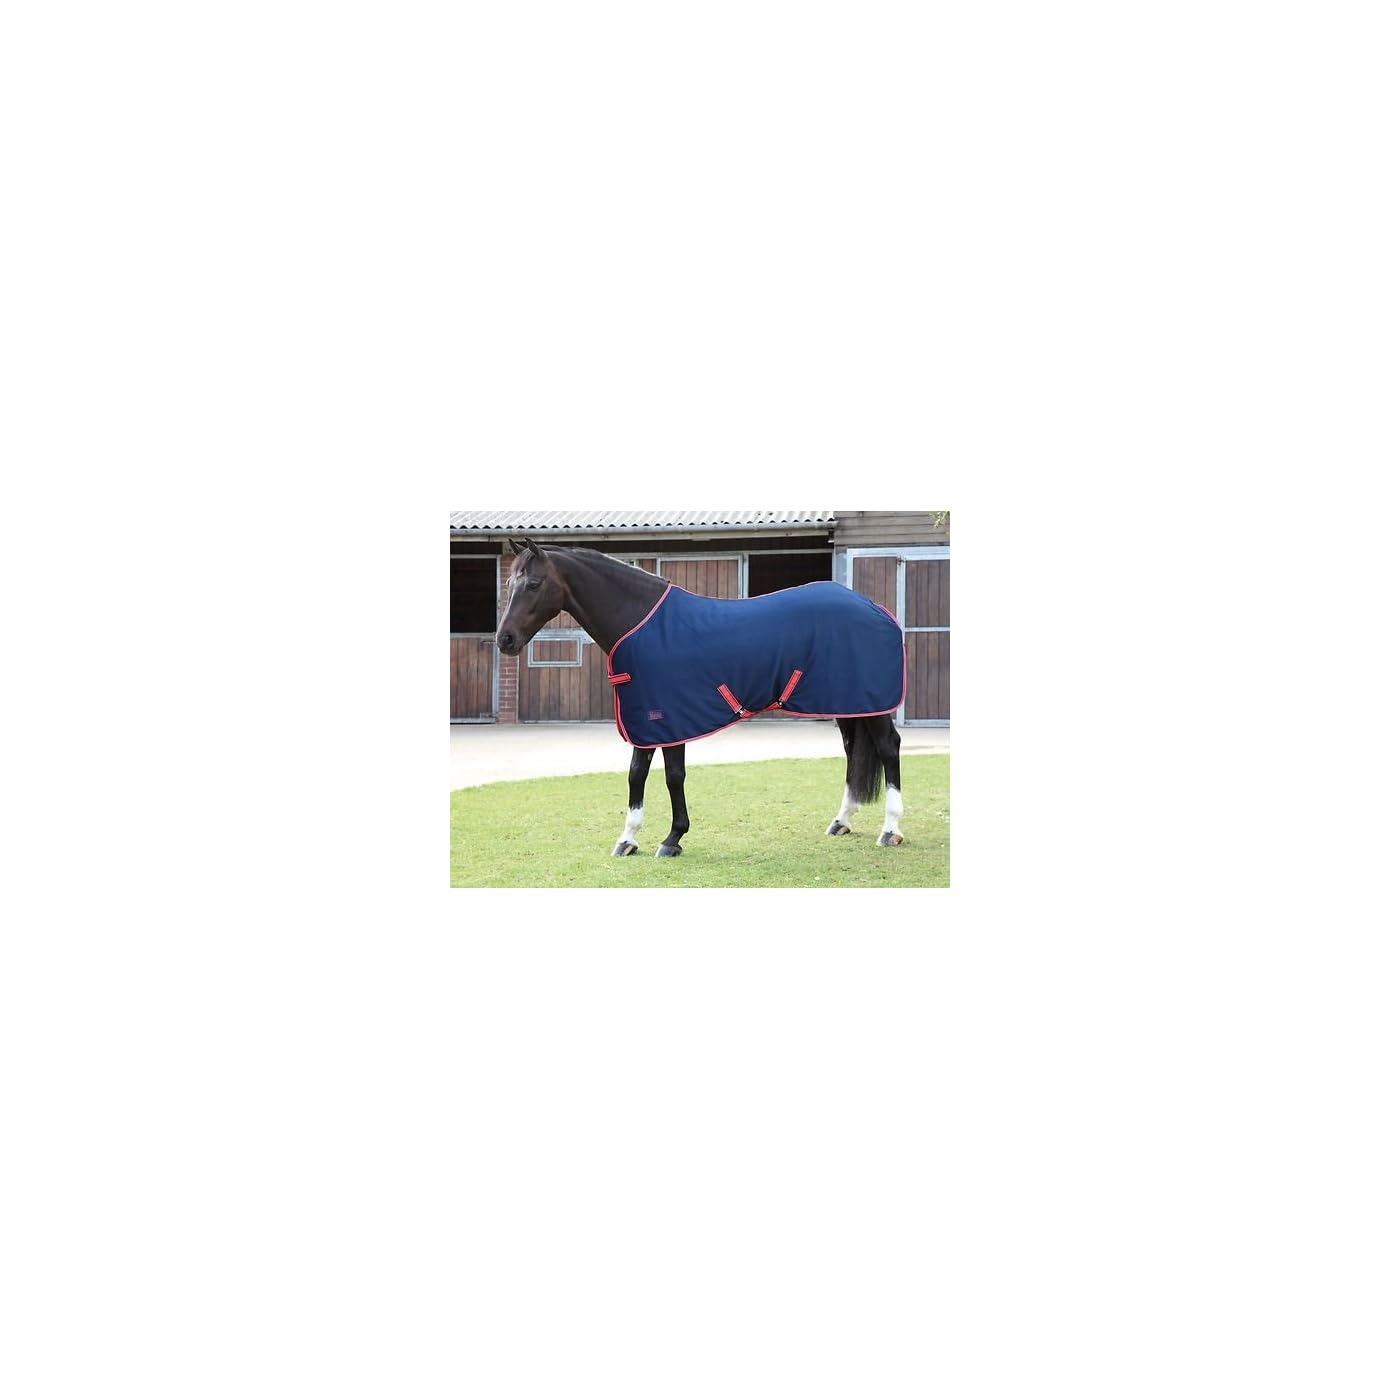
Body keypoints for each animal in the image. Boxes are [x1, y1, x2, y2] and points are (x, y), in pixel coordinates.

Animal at [495, 538, 907, 858]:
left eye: (533, 584)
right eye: (509, 582)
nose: (505, 640)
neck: (640, 623)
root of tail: (874, 607)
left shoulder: (669, 717)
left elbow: (671, 776)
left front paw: (671, 839)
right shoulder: (649, 716)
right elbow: (637, 774)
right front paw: (628, 839)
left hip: (869, 703)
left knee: (888, 747)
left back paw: (891, 830)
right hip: (848, 701)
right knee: (853, 751)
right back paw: (841, 820)